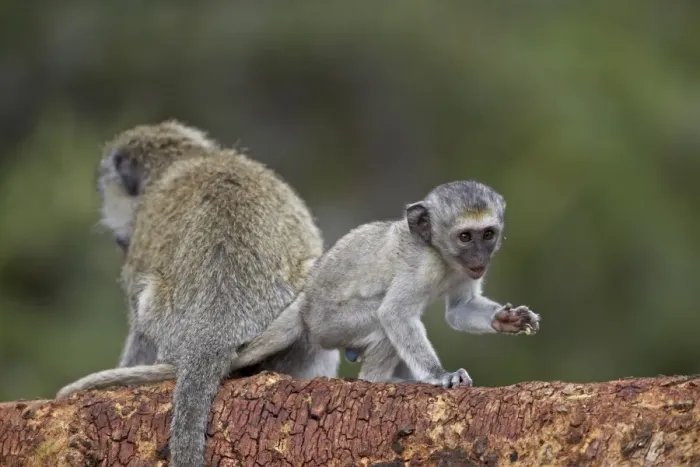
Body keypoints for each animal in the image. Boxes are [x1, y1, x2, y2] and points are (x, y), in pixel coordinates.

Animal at [224, 180, 541, 387]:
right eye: (465, 237)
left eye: (487, 235)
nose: (479, 257)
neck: (439, 252)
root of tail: (306, 303)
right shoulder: (422, 266)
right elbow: (394, 313)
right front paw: (438, 375)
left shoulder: (465, 271)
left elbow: (459, 309)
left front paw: (507, 319)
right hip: (331, 324)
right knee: (381, 321)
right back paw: (379, 381)